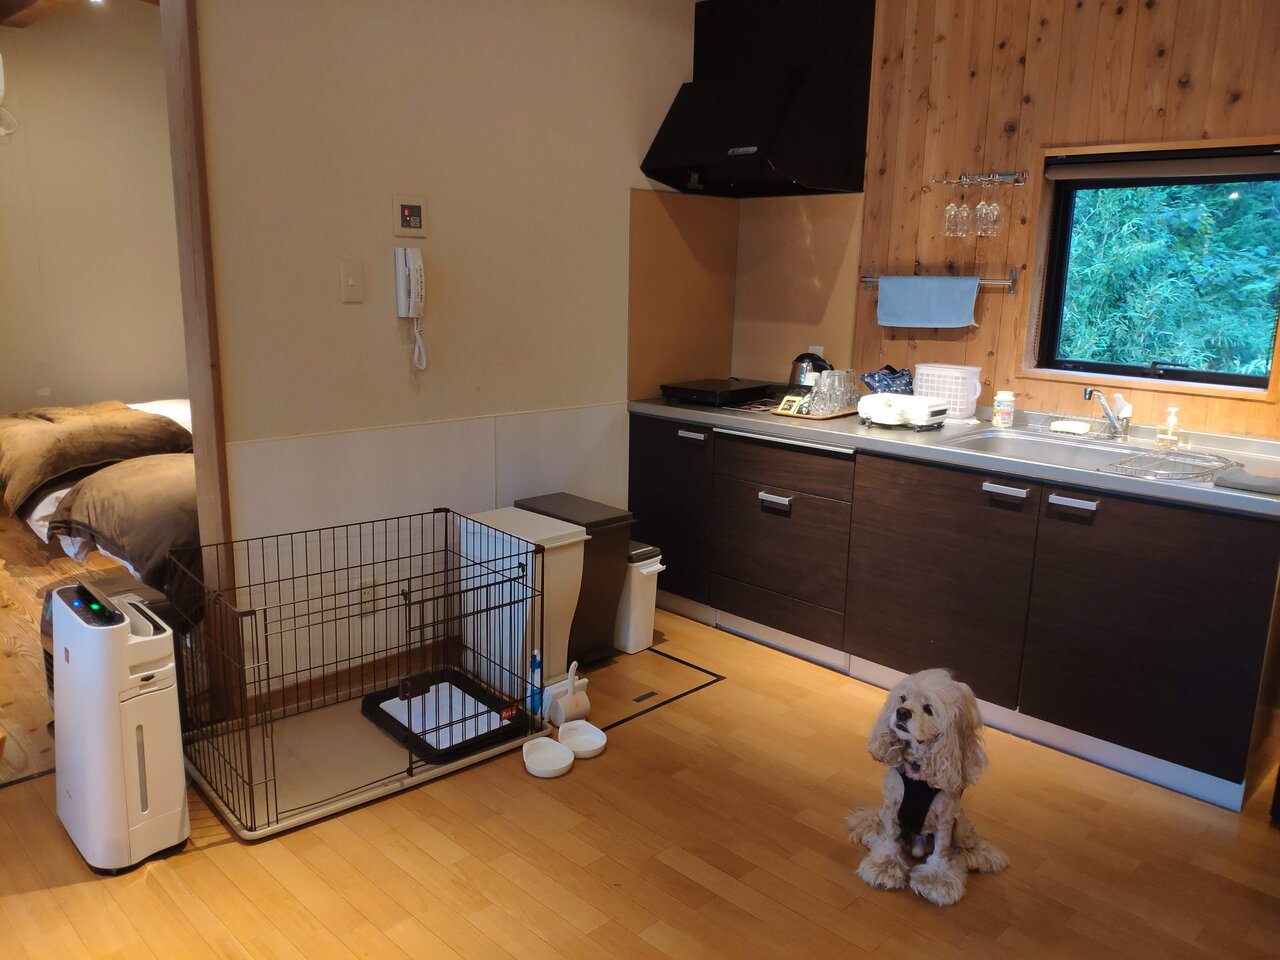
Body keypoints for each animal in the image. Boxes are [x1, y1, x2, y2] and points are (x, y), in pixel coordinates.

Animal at [846, 669, 1008, 906]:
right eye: (902, 699)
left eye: (929, 709)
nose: (902, 712)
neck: (919, 766)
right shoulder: (891, 806)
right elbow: (889, 837)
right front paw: (885, 866)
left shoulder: (945, 817)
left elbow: (941, 850)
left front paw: (936, 881)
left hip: (961, 824)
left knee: (968, 844)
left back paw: (980, 856)